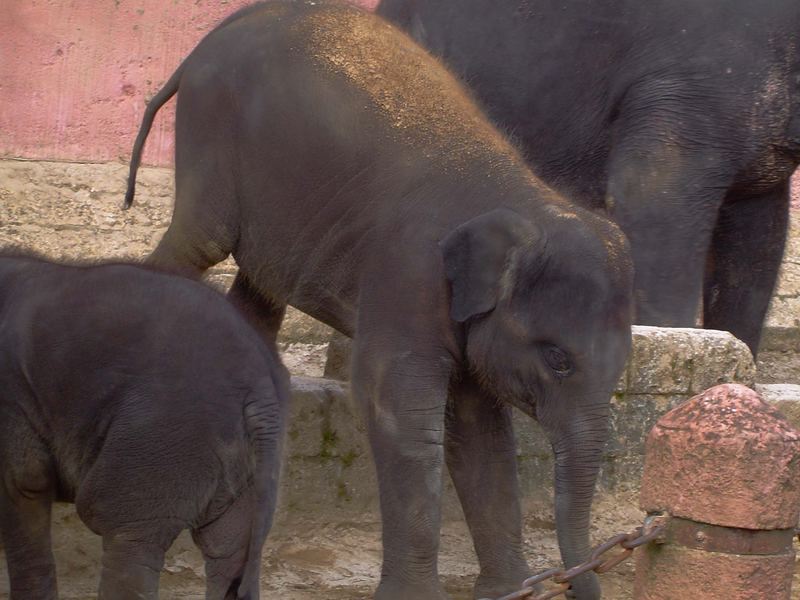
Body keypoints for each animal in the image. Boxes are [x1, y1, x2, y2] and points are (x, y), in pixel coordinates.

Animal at [0, 252, 288, 600]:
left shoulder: (11, 401)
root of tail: (261, 389)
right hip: (252, 470)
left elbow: (24, 484)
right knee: (229, 555)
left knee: (124, 535)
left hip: (165, 437)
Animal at [126, 2, 636, 596]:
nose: (574, 579)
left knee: (262, 277)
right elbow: (398, 405)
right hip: (213, 137)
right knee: (200, 241)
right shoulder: (408, 275)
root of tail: (213, 36)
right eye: (557, 360)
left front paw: (509, 590)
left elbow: (479, 428)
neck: (526, 198)